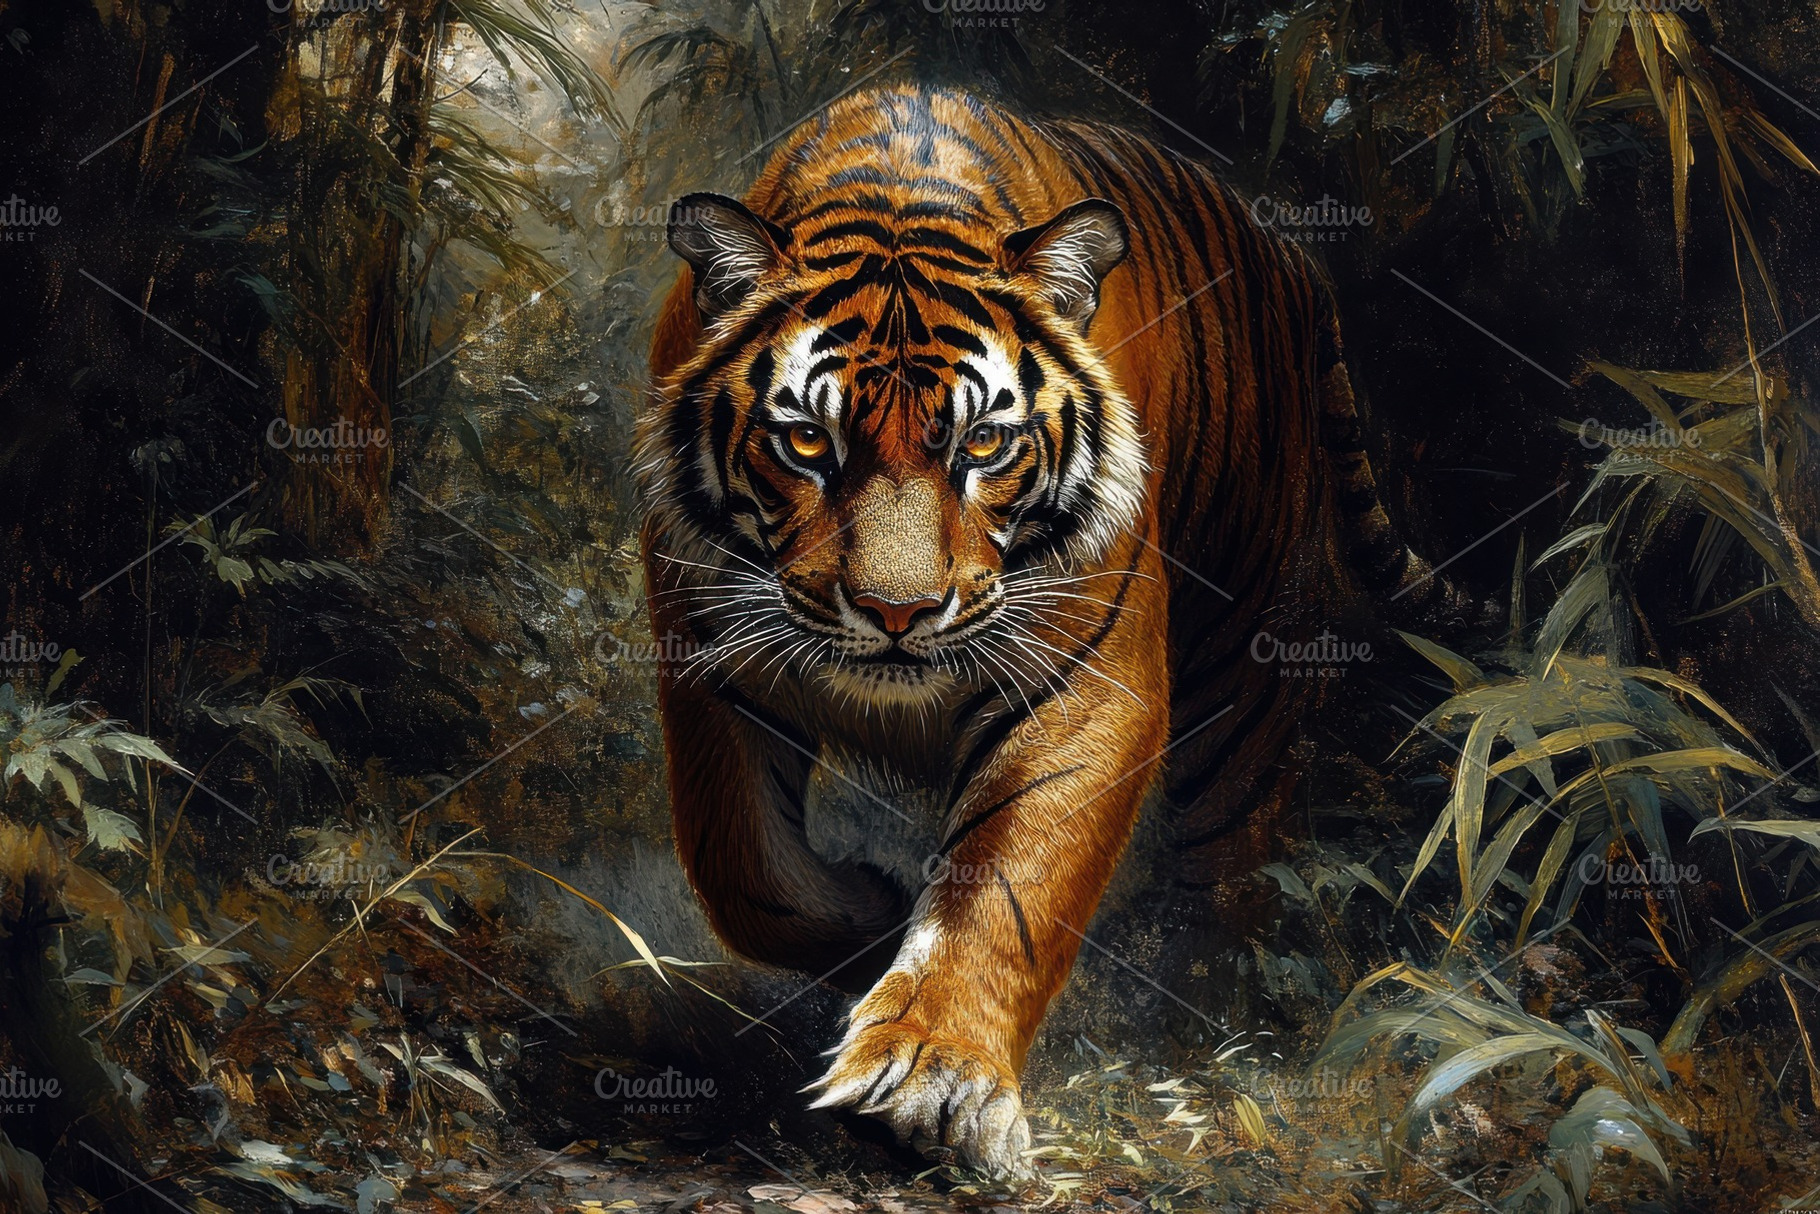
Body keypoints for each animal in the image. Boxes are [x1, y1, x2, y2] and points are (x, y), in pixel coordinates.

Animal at [636, 84, 1471, 1178]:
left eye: (984, 442)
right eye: (807, 441)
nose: (897, 613)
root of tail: (1285, 248)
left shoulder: (1083, 678)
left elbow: (1007, 883)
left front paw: (932, 1080)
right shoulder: (708, 657)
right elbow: (740, 867)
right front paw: (868, 915)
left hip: (1244, 651)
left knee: (1232, 840)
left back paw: (1208, 1018)